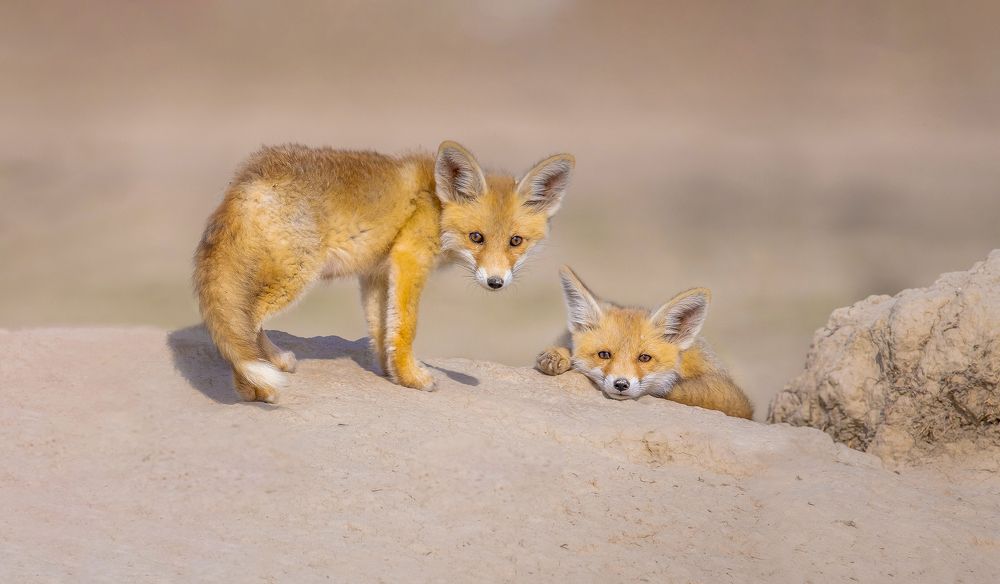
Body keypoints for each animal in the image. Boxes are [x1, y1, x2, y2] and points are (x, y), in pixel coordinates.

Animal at [195, 141, 574, 402]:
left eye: (515, 241)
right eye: (476, 237)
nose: (496, 282)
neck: (435, 206)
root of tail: (246, 178)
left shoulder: (377, 273)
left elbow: (383, 329)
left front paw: (391, 373)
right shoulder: (409, 259)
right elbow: (406, 328)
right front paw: (413, 378)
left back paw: (271, 365)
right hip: (295, 275)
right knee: (246, 323)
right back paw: (253, 388)